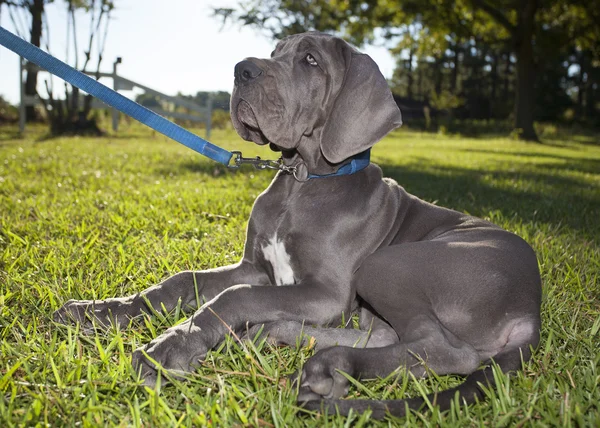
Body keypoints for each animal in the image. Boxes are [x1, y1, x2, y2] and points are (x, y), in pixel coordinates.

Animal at [55, 32, 544, 418]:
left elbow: (233, 297)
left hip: (389, 265)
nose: (241, 70)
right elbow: (180, 282)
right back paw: (278, 337)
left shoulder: (327, 292)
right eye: (275, 51)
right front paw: (100, 312)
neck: (302, 180)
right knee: (387, 335)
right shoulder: (255, 267)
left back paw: (329, 363)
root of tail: (531, 309)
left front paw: (169, 348)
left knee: (446, 351)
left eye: (310, 60)